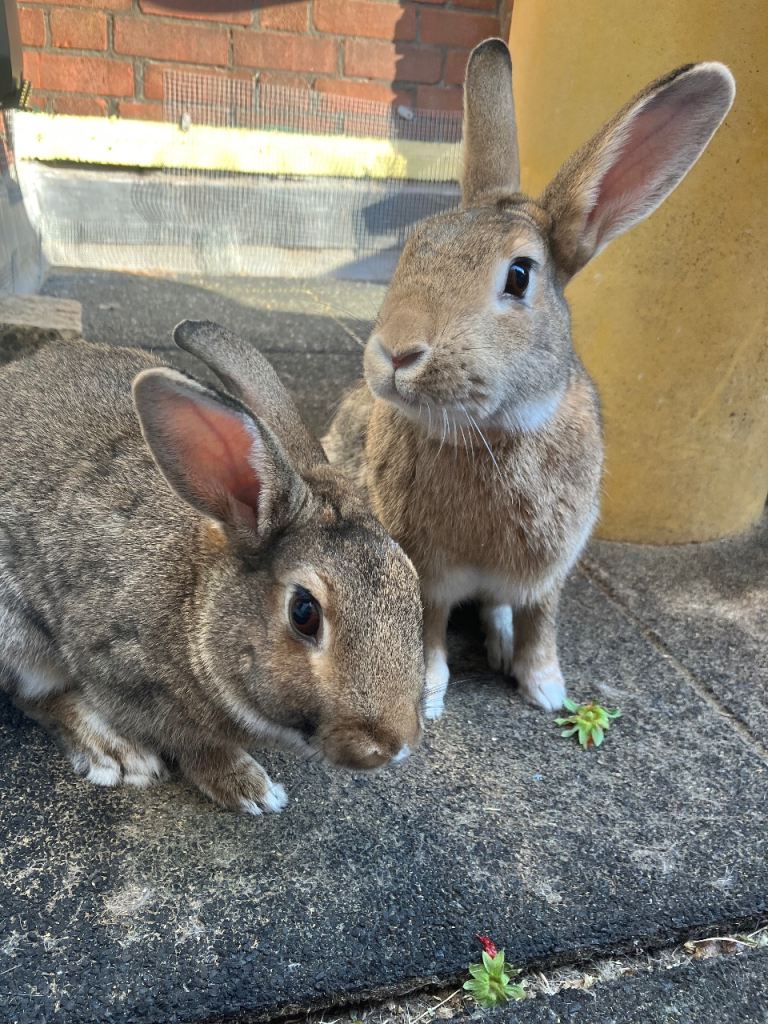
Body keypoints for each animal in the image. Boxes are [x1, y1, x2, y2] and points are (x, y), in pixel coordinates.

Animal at [0, 320, 425, 814]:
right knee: (35, 696)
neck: (194, 601)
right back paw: (117, 754)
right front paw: (250, 789)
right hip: (19, 636)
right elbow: (195, 746)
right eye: (304, 613)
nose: (391, 746)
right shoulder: (123, 675)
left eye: (412, 585)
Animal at [324, 39, 735, 720]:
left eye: (519, 276)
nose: (395, 353)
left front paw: (546, 691)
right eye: (414, 247)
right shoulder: (430, 572)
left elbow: (540, 622)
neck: (491, 435)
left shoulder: (548, 573)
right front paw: (430, 697)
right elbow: (431, 629)